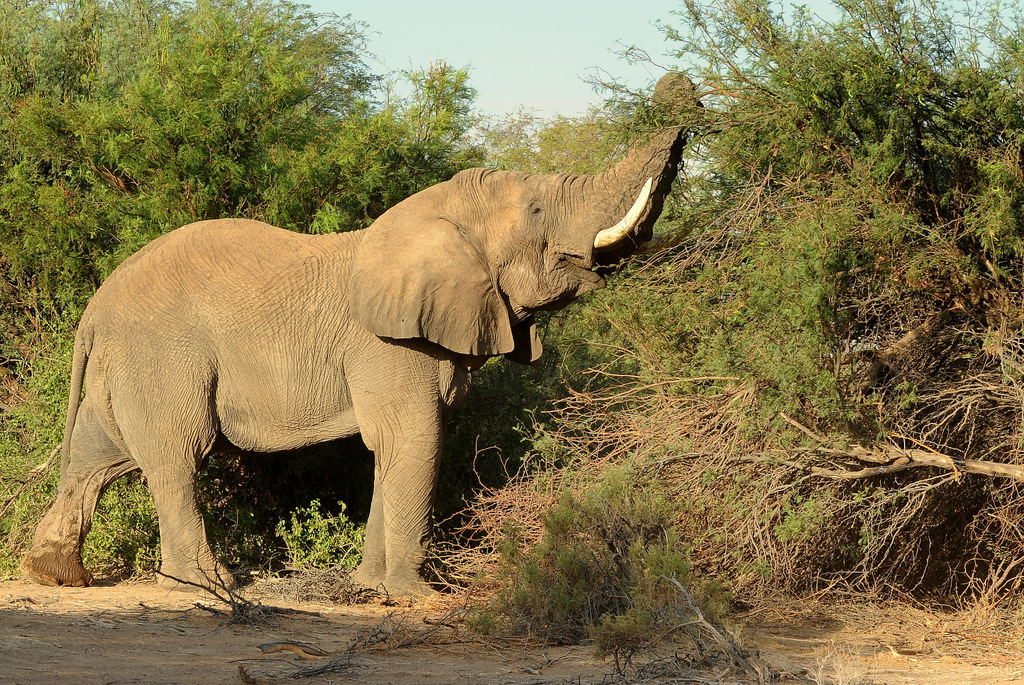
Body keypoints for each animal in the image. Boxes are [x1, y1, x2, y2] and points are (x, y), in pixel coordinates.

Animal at [22, 76, 696, 597]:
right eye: (536, 213)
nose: (680, 86)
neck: (430, 217)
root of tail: (96, 305)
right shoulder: (389, 344)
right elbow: (414, 440)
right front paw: (414, 595)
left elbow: (397, 448)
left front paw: (369, 589)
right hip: (163, 354)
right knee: (177, 453)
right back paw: (207, 587)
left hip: (127, 364)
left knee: (98, 453)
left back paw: (54, 575)